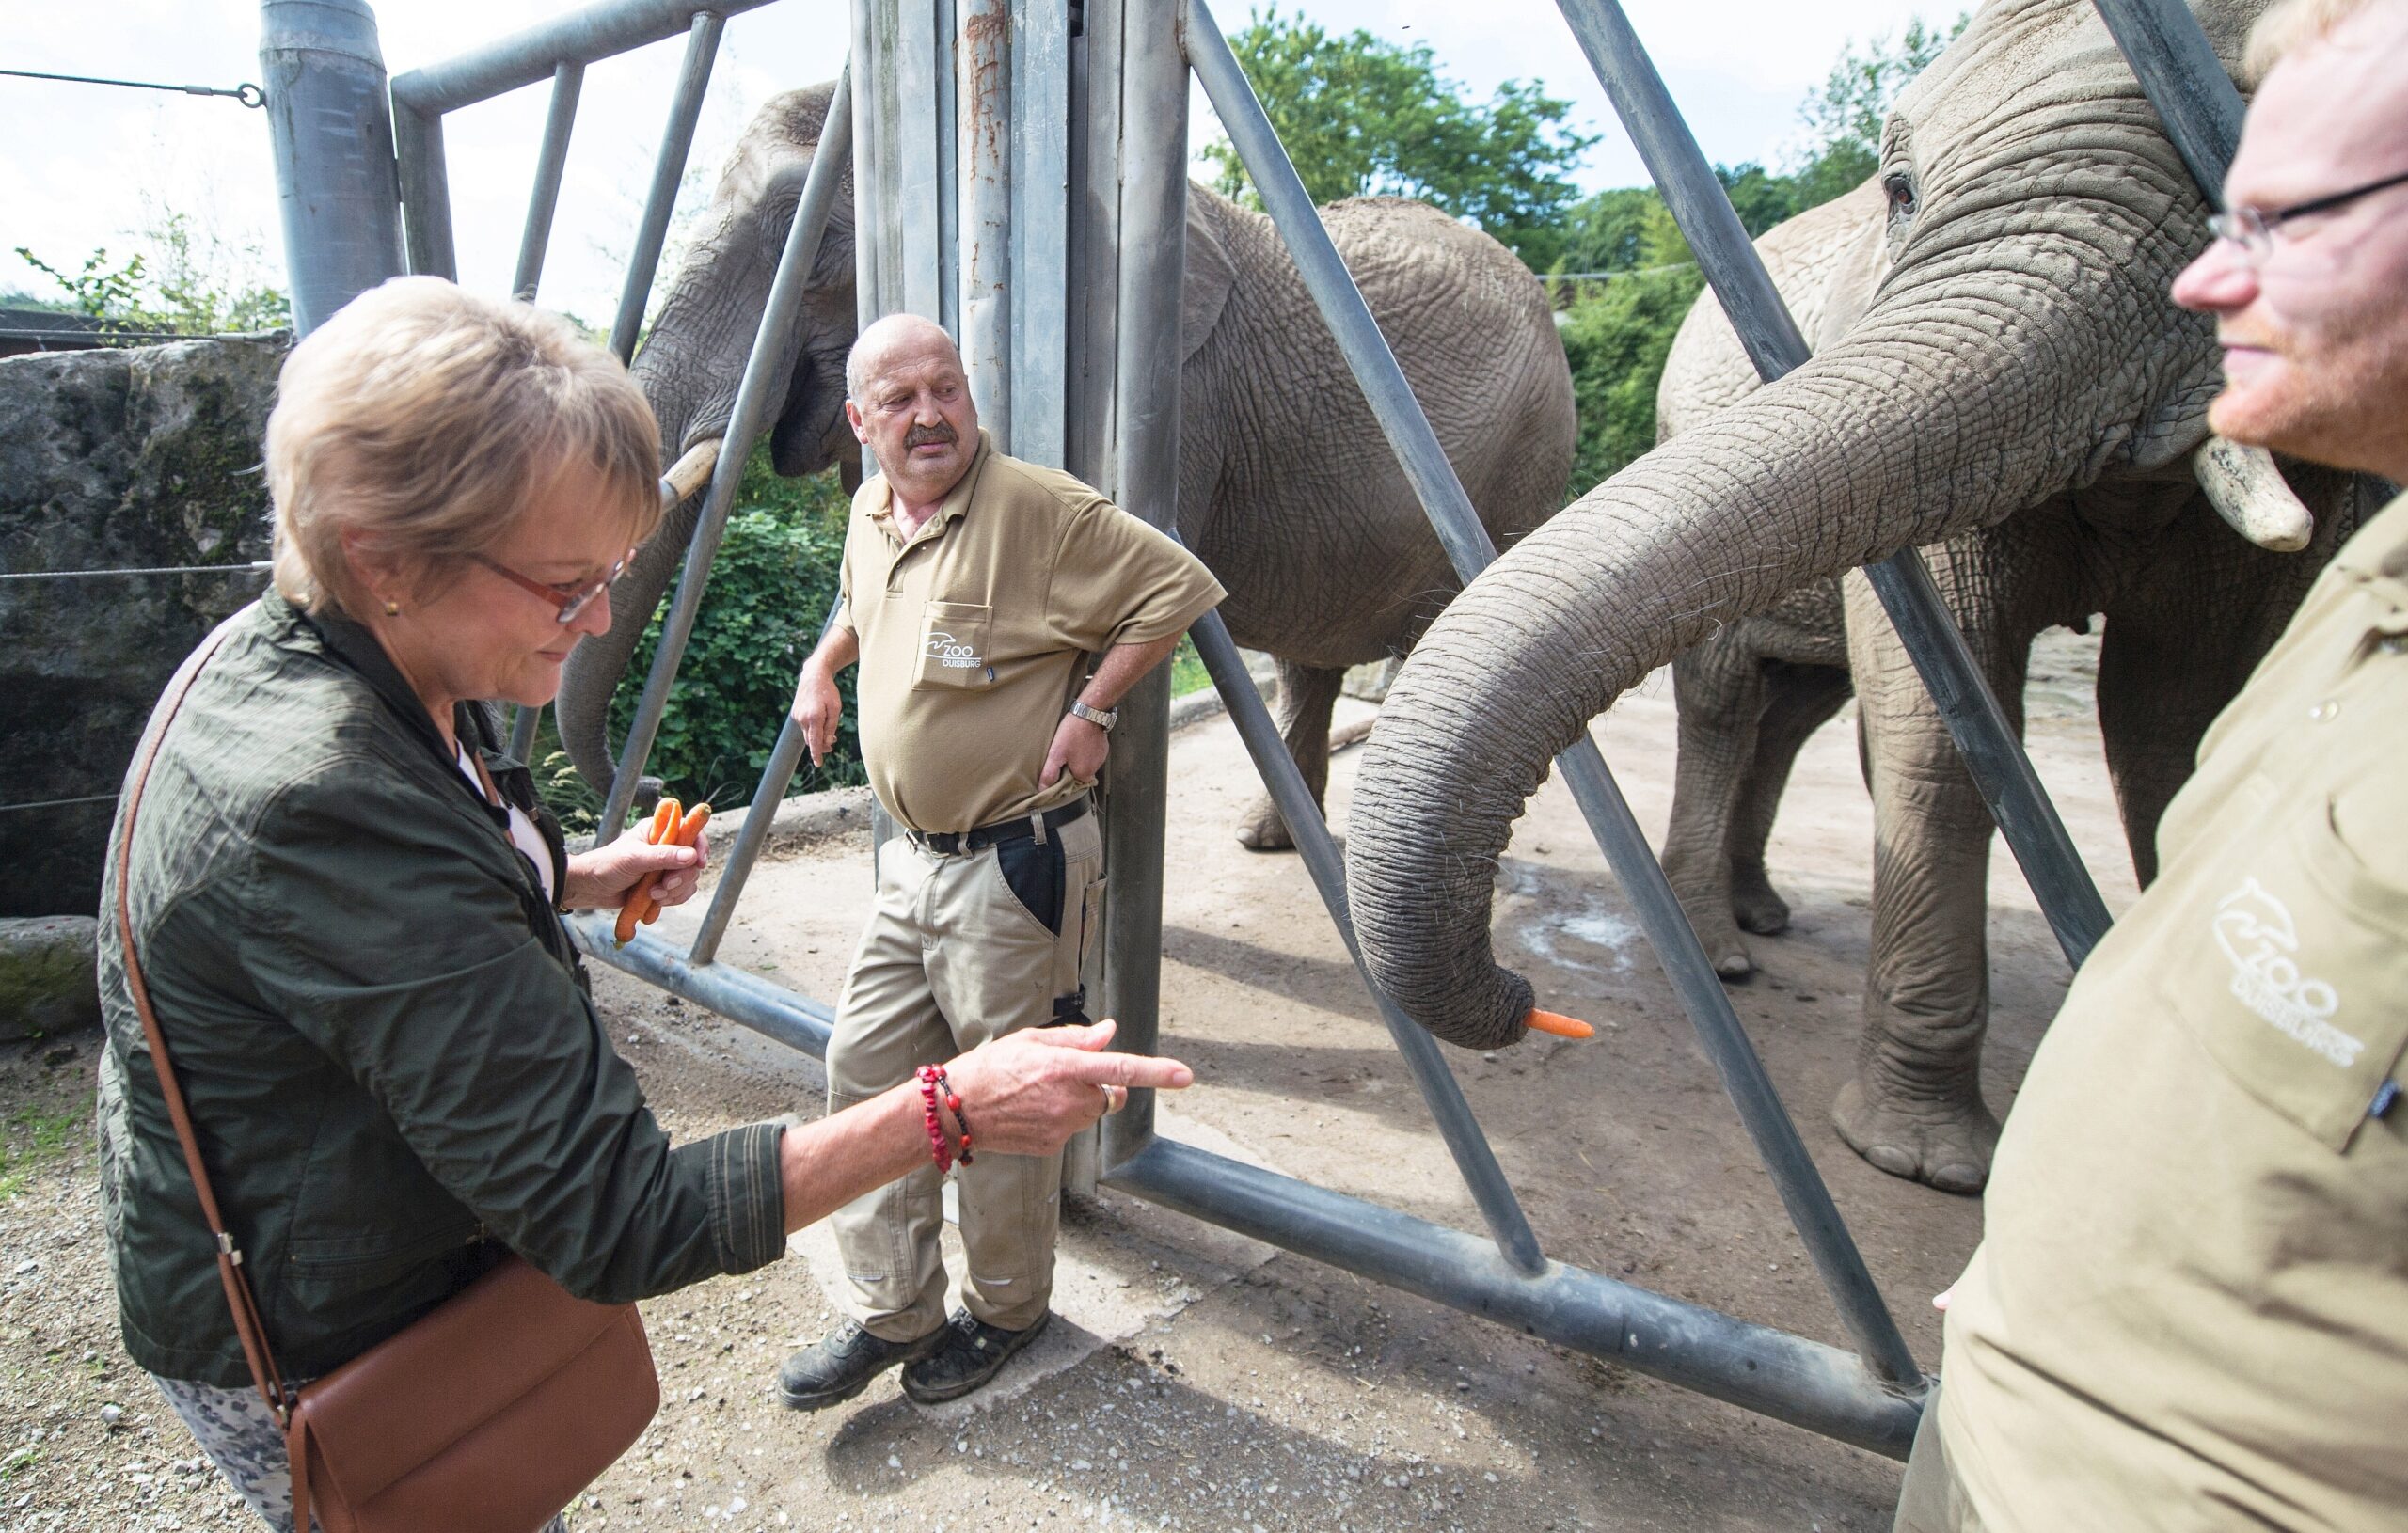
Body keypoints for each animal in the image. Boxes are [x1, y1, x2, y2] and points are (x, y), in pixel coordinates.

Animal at [561, 79, 1579, 842]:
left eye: (817, 252)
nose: (653, 791)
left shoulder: (1178, 389)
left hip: (1527, 455)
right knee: (1311, 661)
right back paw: (1269, 840)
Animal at [1348, 0, 2379, 1193]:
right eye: (1902, 190)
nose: (1528, 1004)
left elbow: (2176, 712)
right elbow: (1947, 718)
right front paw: (1923, 1163)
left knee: (1795, 712)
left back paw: (1756, 917)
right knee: (1731, 703)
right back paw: (1721, 949)